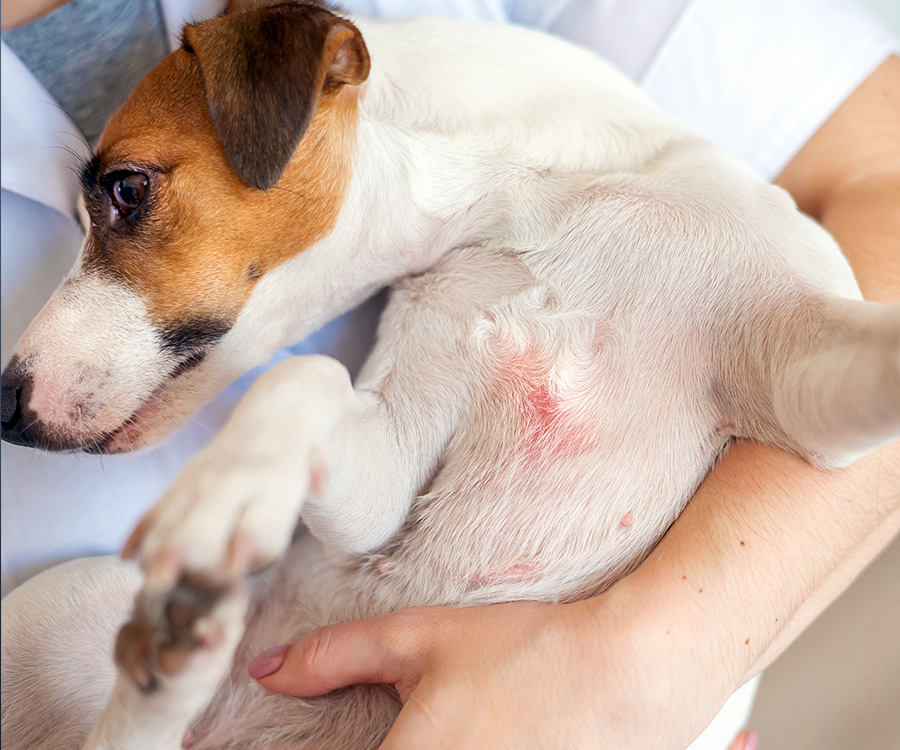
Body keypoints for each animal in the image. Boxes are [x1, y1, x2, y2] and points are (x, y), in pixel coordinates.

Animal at [1, 1, 900, 750]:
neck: (537, 195)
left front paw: (233, 482)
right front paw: (236, 483)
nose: (3, 403)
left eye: (126, 189)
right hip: (64, 607)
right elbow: (310, 378)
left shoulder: (803, 362)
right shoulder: (387, 479)